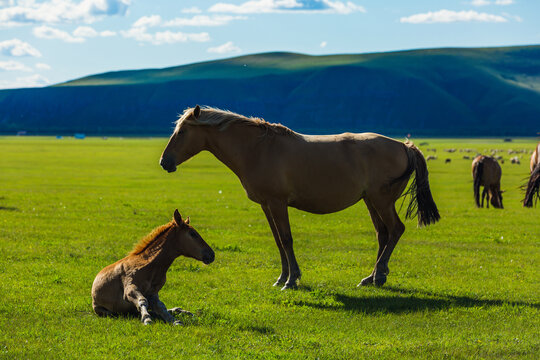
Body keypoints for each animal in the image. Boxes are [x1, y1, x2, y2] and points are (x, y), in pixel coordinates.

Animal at [159, 106, 438, 290]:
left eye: (182, 132)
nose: (165, 162)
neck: (258, 149)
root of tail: (404, 146)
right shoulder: (266, 205)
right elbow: (278, 241)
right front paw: (282, 277)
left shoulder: (278, 203)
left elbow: (286, 239)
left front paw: (292, 280)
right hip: (371, 201)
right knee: (383, 234)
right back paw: (371, 277)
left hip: (382, 201)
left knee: (396, 230)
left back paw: (379, 275)